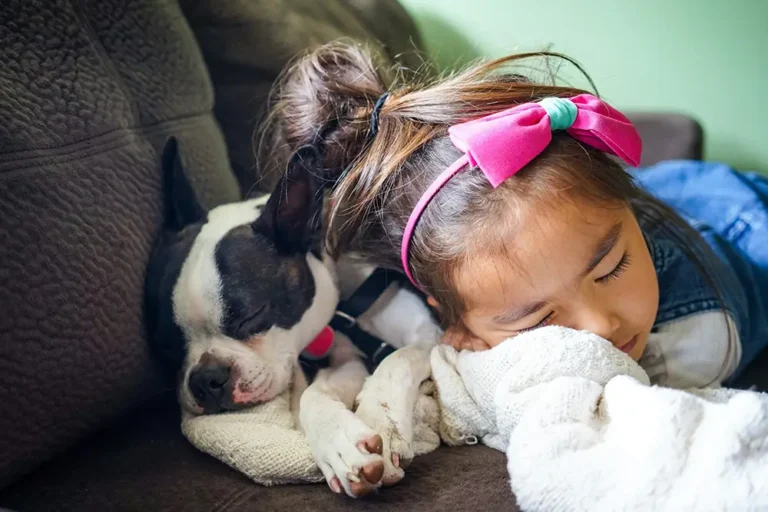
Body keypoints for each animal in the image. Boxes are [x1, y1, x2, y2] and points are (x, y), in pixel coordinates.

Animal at [146, 138, 440, 498]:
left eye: (251, 316)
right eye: (166, 346)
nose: (205, 379)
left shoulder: (429, 333)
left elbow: (397, 361)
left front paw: (382, 422)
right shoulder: (344, 355)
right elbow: (313, 395)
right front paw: (339, 445)